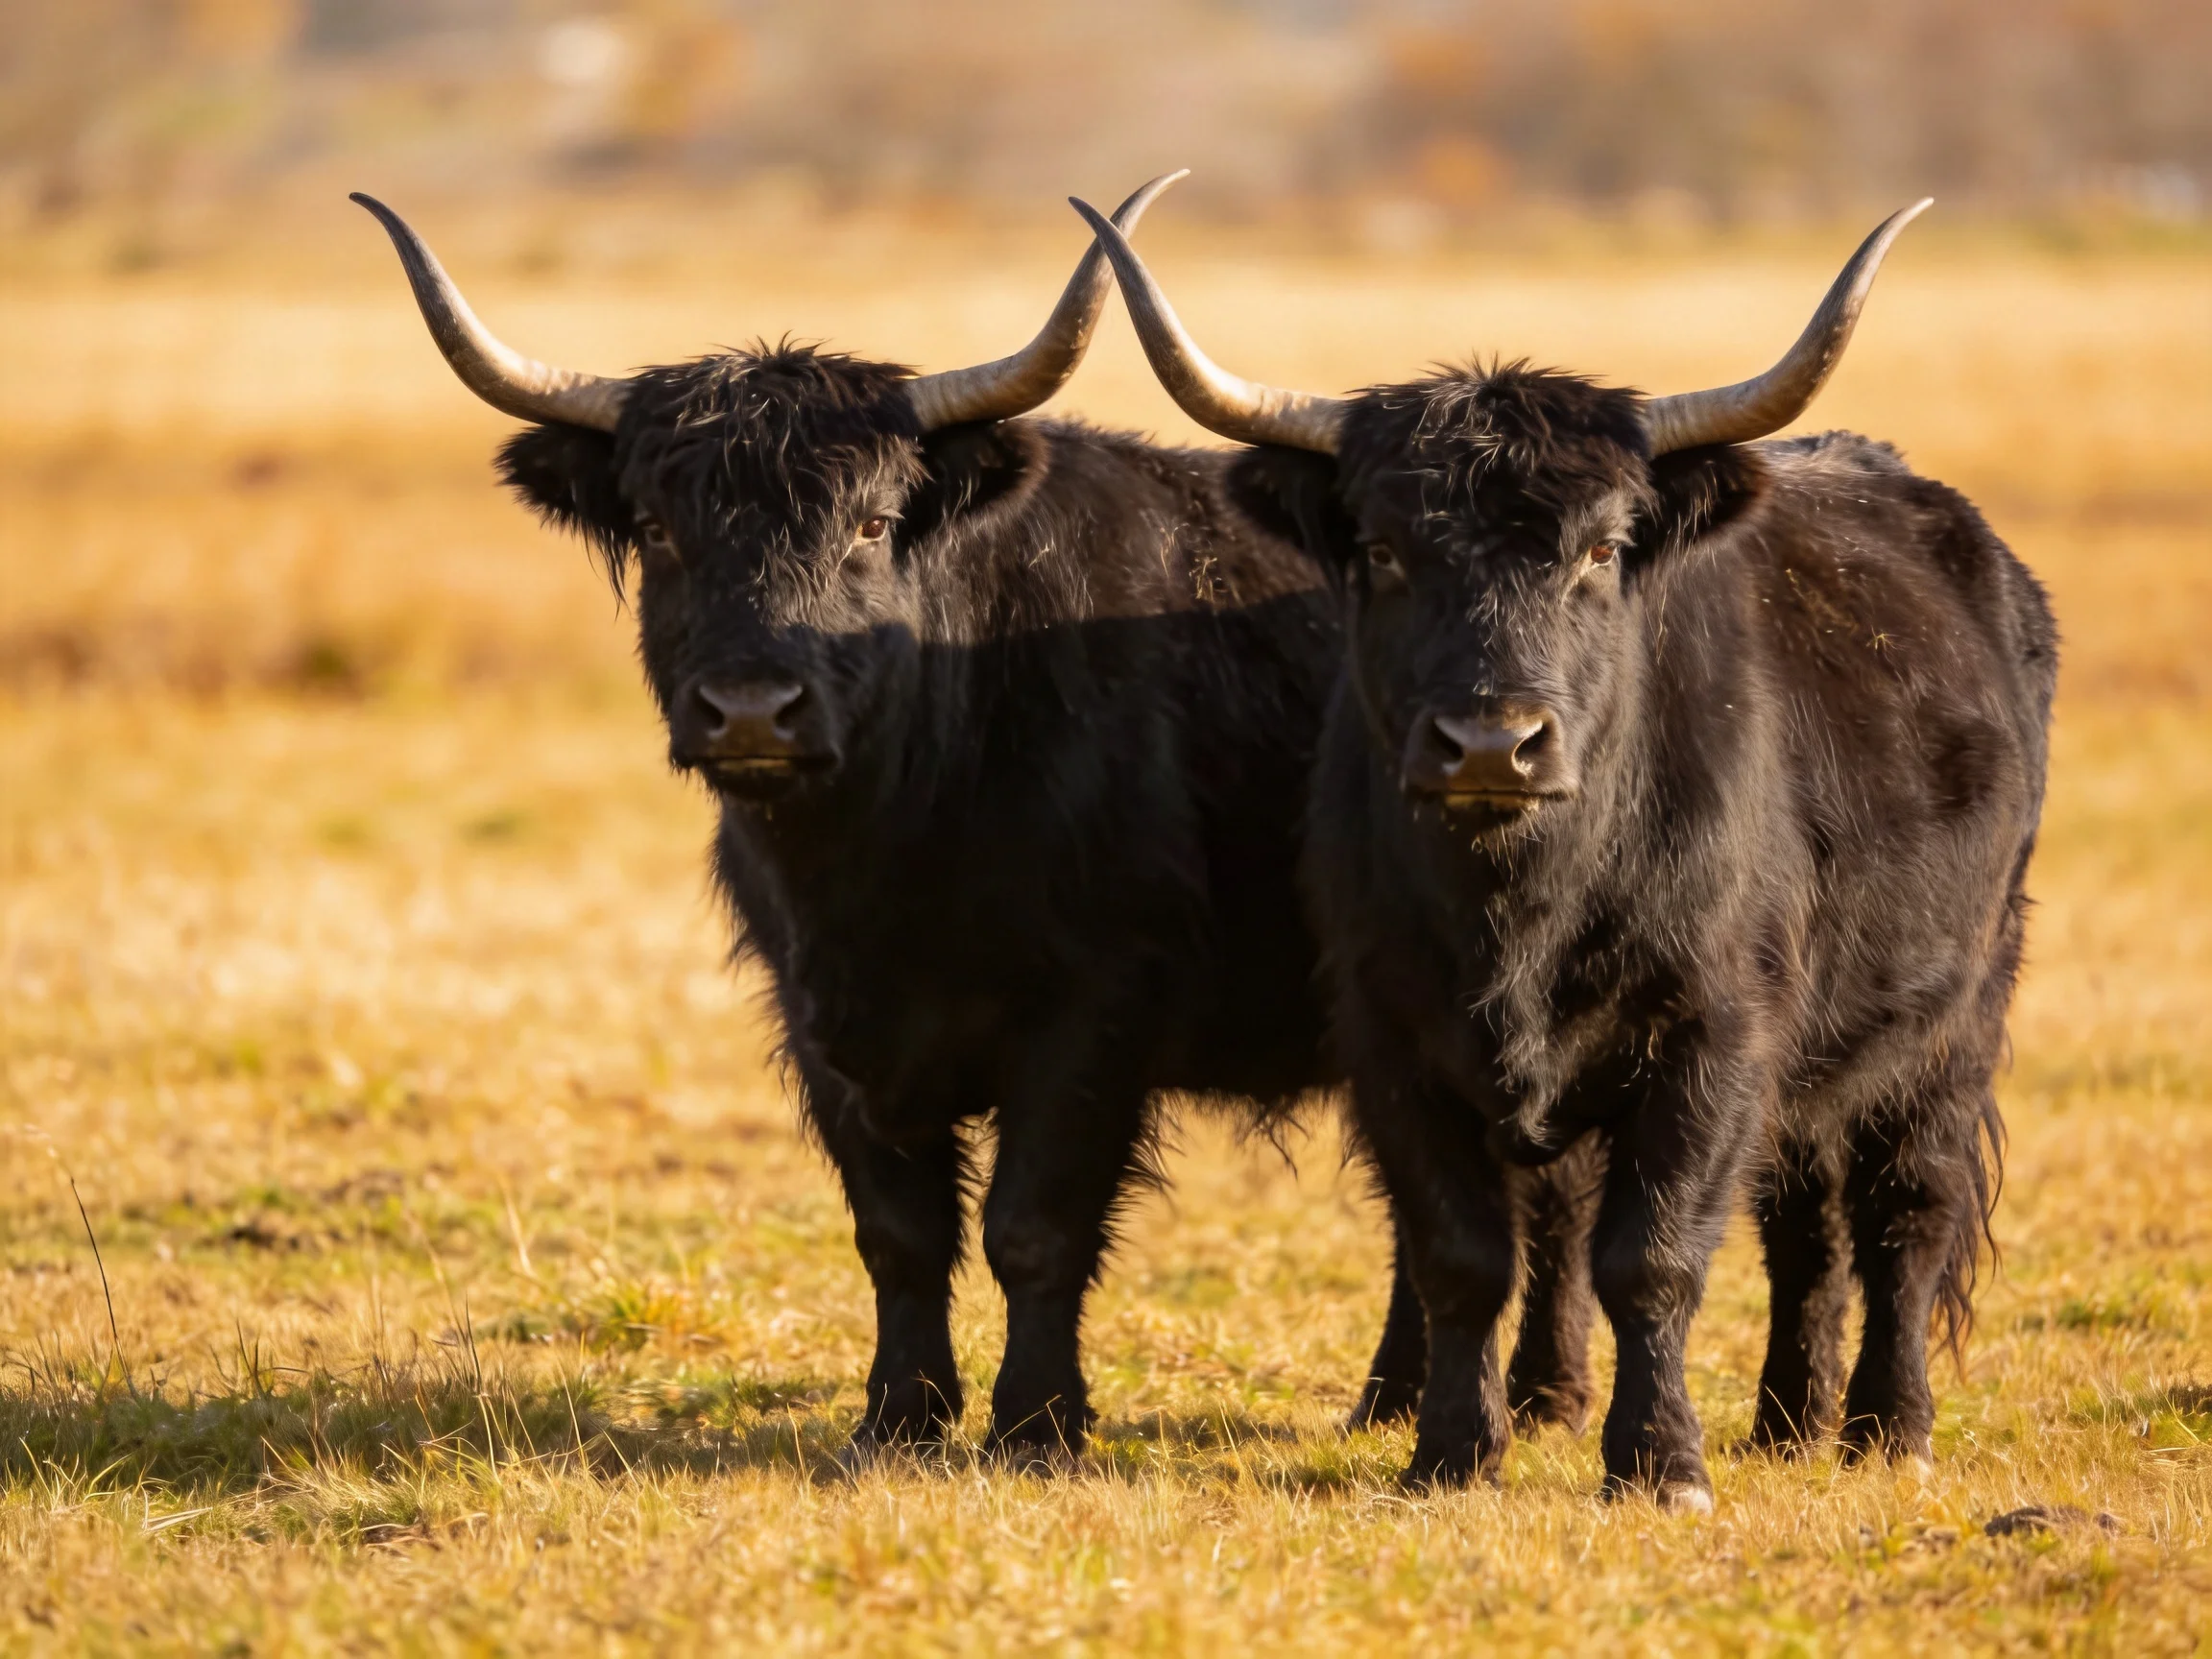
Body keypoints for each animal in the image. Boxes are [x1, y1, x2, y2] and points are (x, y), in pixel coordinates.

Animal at [355, 179, 1560, 1463]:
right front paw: (899, 1419)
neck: (895, 845)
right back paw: (1389, 1398)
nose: (752, 710)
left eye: (871, 524)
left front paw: (1035, 1423)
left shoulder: (1095, 1014)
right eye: (662, 528)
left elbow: (1034, 1225)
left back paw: (1527, 1398)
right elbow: (900, 1234)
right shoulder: (822, 1026)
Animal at [1077, 196, 2056, 1507]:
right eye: (1383, 551)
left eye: (1600, 550)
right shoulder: (1392, 1038)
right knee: (1804, 1226)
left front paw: (1659, 1462)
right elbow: (1461, 1254)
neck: (1523, 909)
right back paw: (1787, 1421)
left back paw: (1887, 1428)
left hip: (1954, 1018)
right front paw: (1451, 1451)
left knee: (1907, 1211)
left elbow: (1653, 1254)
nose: (1494, 742)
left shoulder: (1713, 1032)